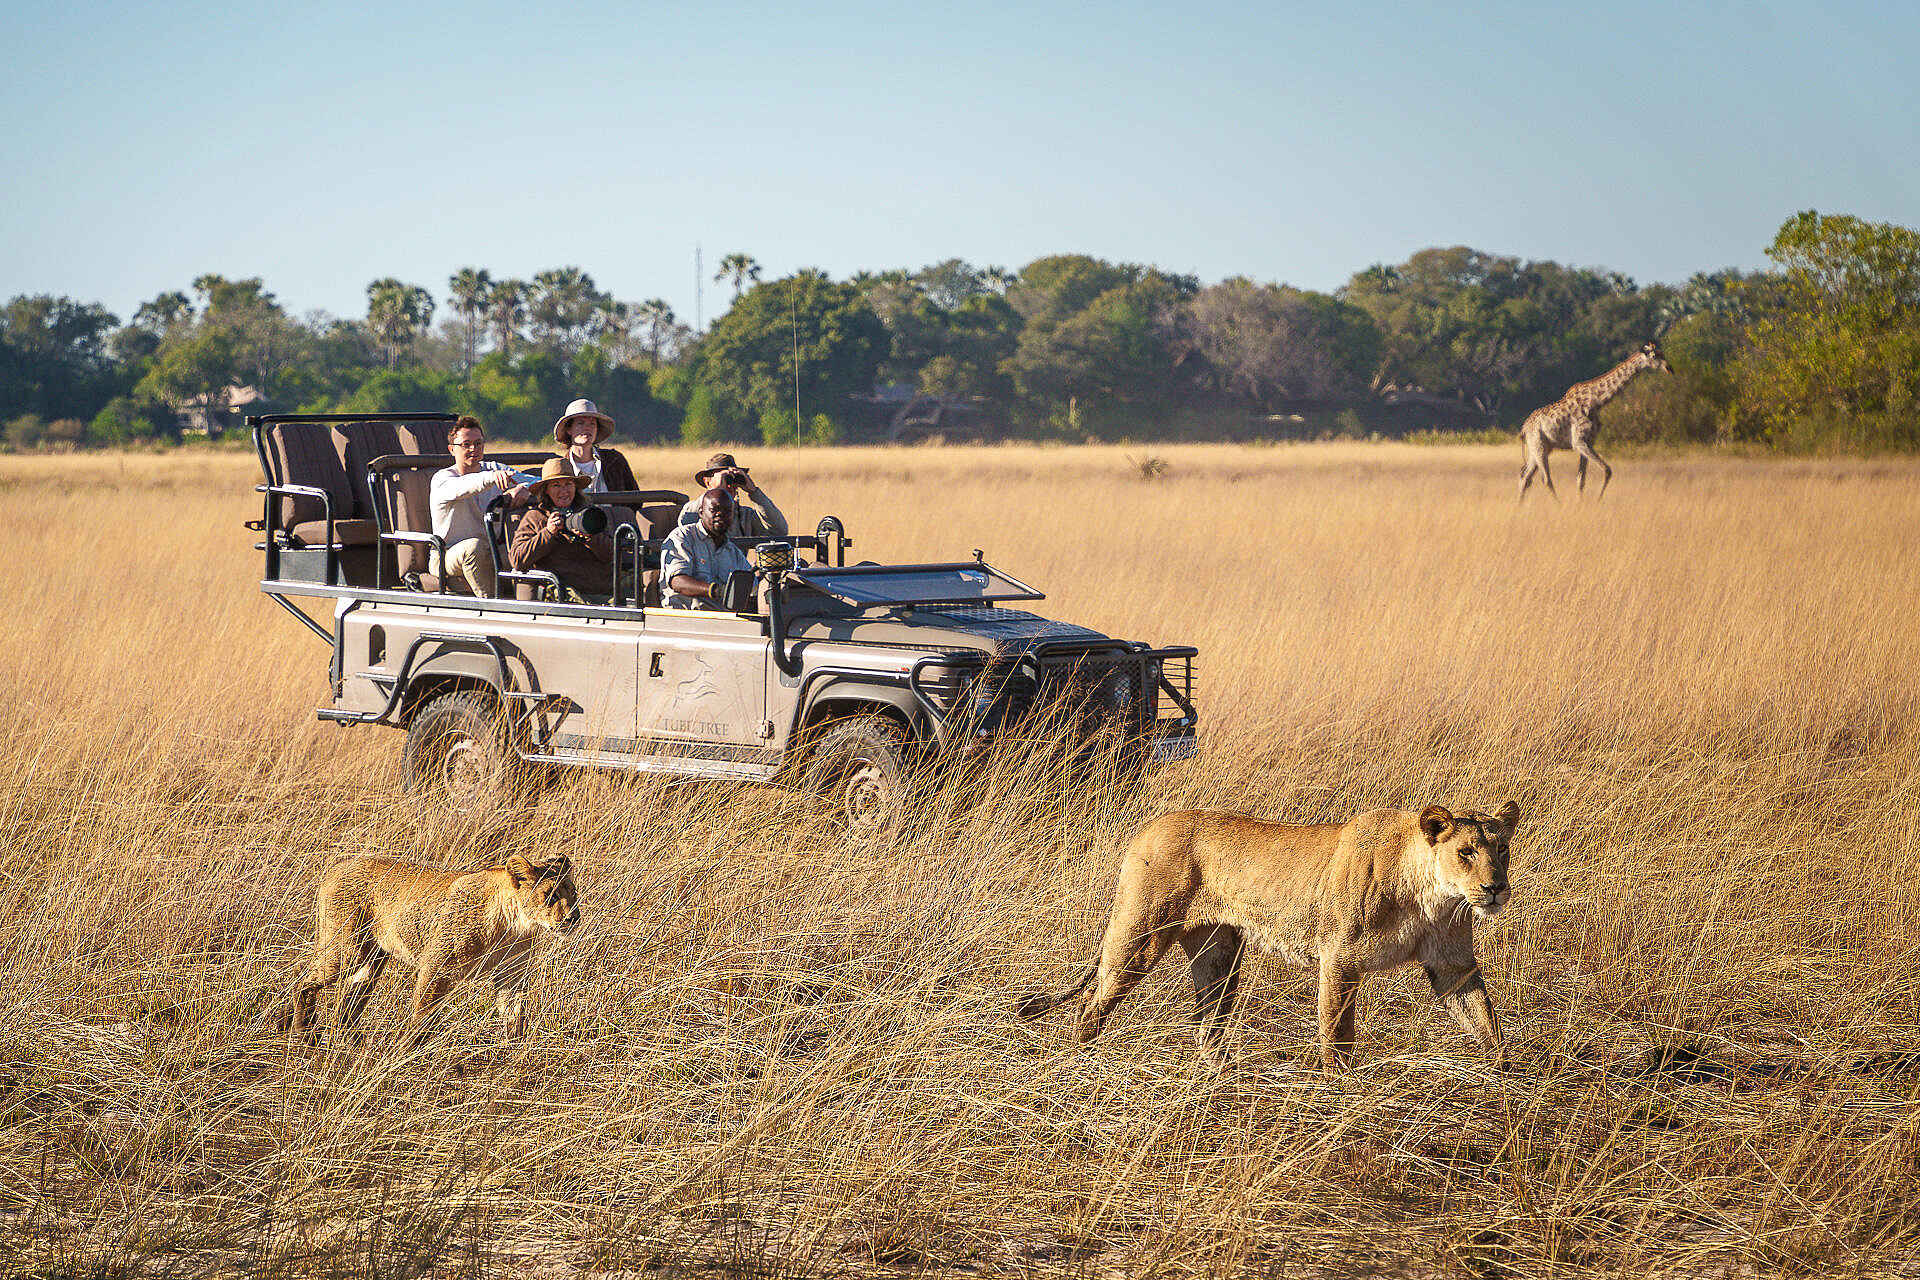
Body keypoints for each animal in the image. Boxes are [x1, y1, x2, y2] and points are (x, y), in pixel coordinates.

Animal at [282, 853, 580, 1045]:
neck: (514, 925)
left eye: (573, 893)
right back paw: (302, 1034)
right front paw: (405, 1055)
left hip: (372, 958)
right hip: (347, 950)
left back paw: (353, 1041)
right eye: (550, 896)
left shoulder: (512, 974)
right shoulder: (437, 966)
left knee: (348, 1001)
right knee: (301, 978)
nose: (573, 918)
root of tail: (336, 868)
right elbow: (421, 1016)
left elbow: (515, 1013)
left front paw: (514, 1053)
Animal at [1016, 802, 1518, 1069]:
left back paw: (1215, 1074)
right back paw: (1082, 1057)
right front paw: (1338, 1085)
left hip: (1218, 954)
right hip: (1141, 936)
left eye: (1502, 850)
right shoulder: (1339, 958)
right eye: (1466, 852)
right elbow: (1337, 1031)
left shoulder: (1452, 965)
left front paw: (1506, 1076)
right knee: (1095, 998)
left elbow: (1485, 1020)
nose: (1495, 888)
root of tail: (1149, 826)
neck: (1432, 894)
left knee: (1208, 1020)